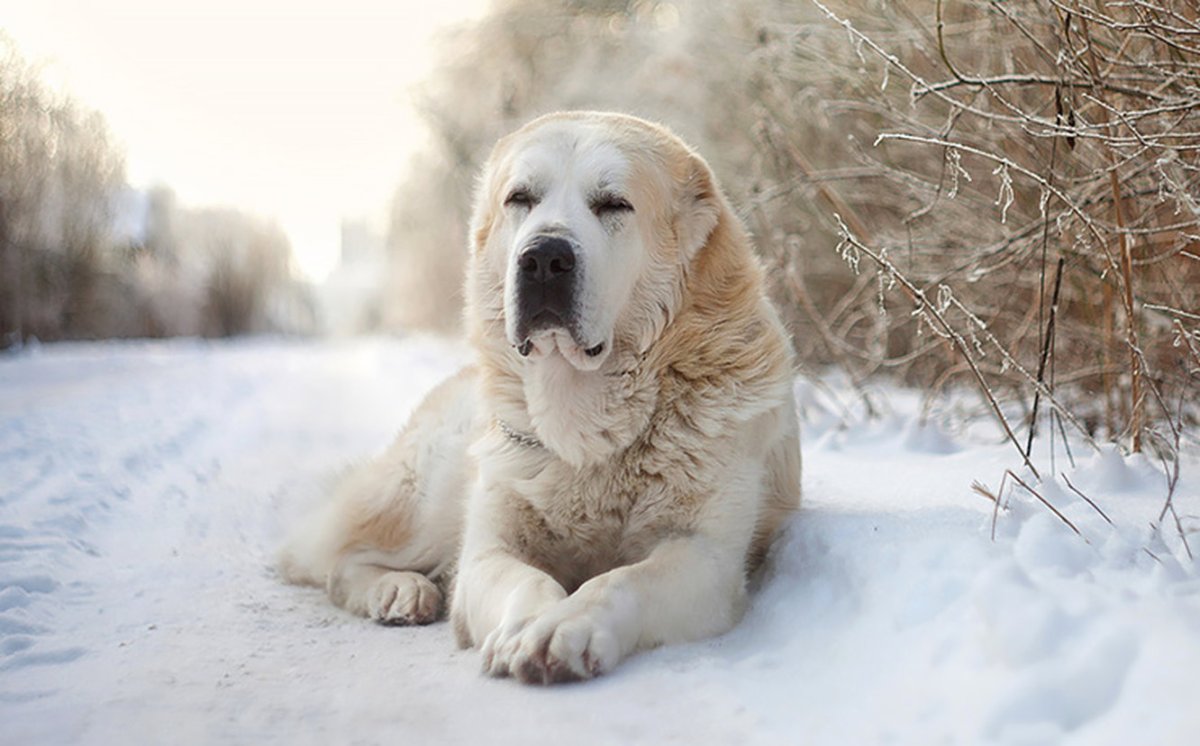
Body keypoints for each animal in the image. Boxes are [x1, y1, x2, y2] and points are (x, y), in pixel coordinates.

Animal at [279, 109, 801, 686]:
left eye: (613, 204)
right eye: (520, 198)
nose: (544, 257)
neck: (585, 421)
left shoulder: (702, 556)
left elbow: (619, 580)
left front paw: (565, 628)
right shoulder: (489, 550)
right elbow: (526, 580)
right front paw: (528, 625)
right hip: (429, 492)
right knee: (338, 559)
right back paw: (400, 589)